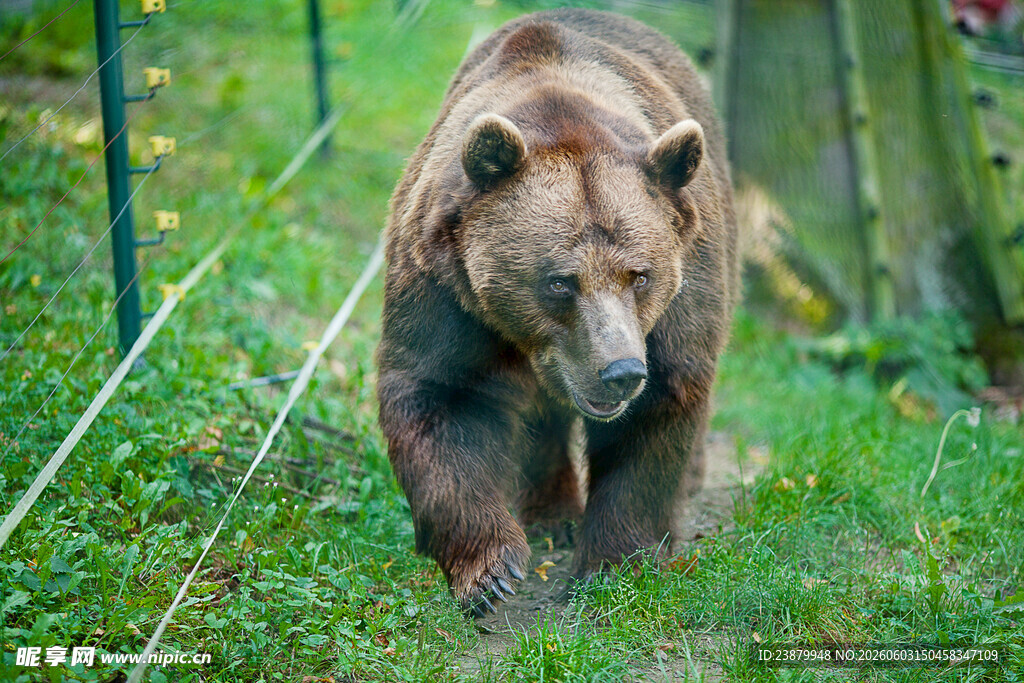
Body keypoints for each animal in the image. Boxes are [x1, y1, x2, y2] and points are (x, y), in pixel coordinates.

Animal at [377, 8, 738, 615]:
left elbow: (660, 406)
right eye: (559, 282)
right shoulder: (444, 287)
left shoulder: (680, 295)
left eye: (640, 275)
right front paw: (492, 570)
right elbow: (437, 395)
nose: (620, 371)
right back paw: (551, 513)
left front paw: (612, 564)